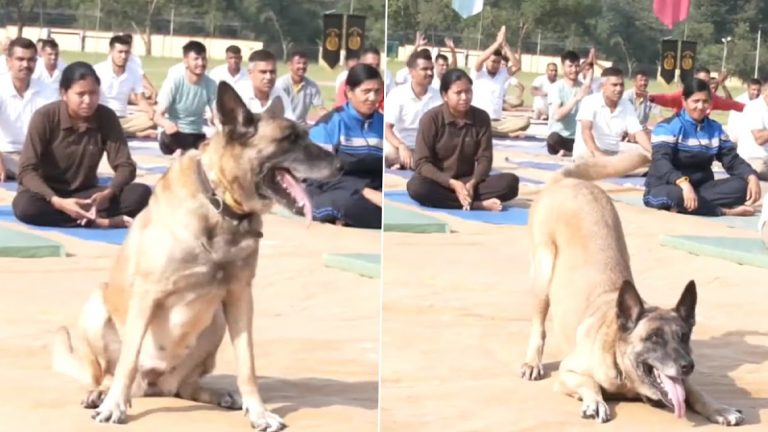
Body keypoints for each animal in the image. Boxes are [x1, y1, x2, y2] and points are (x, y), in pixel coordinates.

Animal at [50, 80, 342, 428]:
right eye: (290, 139)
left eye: (305, 134)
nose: (342, 165)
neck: (220, 204)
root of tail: (152, 385)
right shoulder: (147, 294)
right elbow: (128, 360)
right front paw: (114, 406)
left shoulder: (240, 295)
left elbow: (248, 365)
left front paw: (258, 412)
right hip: (97, 306)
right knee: (108, 373)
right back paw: (102, 393)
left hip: (215, 320)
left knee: (183, 387)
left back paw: (220, 395)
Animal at [520, 152, 744, 426]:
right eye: (653, 338)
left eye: (684, 336)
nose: (687, 366)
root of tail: (567, 181)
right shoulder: (567, 372)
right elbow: (589, 382)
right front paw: (595, 401)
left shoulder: (682, 380)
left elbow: (696, 391)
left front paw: (719, 408)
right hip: (543, 272)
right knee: (538, 326)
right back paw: (532, 361)